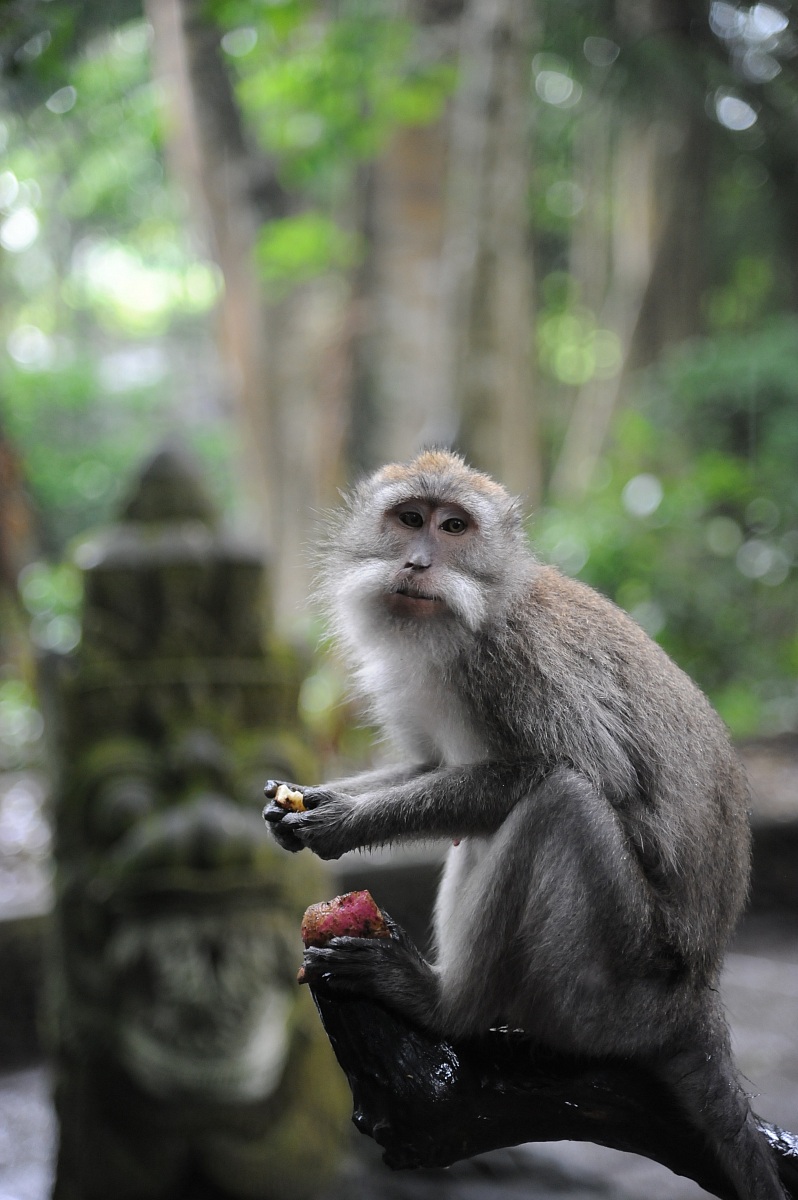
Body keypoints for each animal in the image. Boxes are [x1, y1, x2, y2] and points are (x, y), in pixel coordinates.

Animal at [263, 449, 786, 1200]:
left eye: (454, 526)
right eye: (409, 519)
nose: (418, 563)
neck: (469, 617)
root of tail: (698, 998)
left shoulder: (515, 663)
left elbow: (583, 773)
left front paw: (345, 824)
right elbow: (430, 764)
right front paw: (306, 800)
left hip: (615, 993)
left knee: (560, 801)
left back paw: (444, 1005)